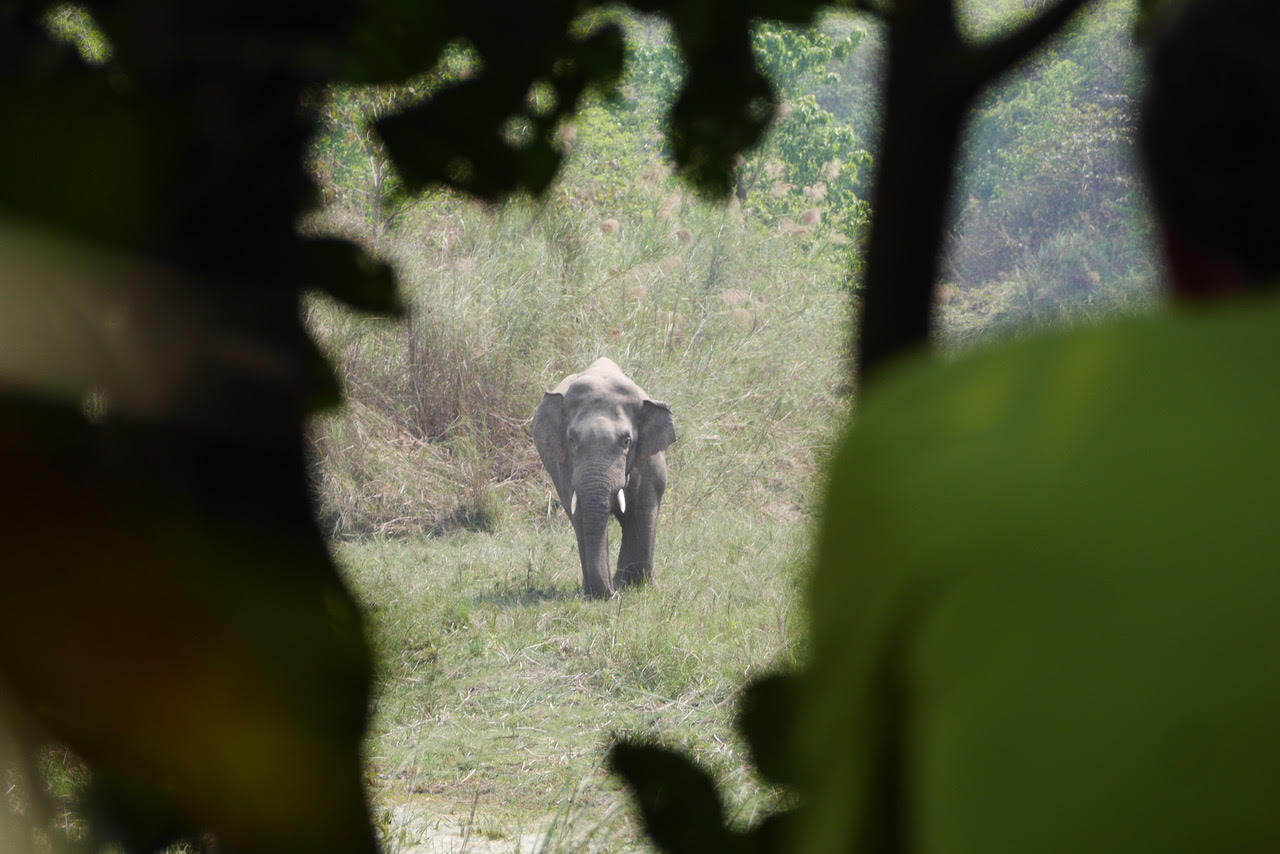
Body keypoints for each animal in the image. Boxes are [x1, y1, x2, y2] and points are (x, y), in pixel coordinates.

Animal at [529, 358, 675, 599]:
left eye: (627, 441)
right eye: (572, 439)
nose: (612, 594)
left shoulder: (648, 463)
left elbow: (643, 509)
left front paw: (639, 587)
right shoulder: (565, 468)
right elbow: (581, 513)